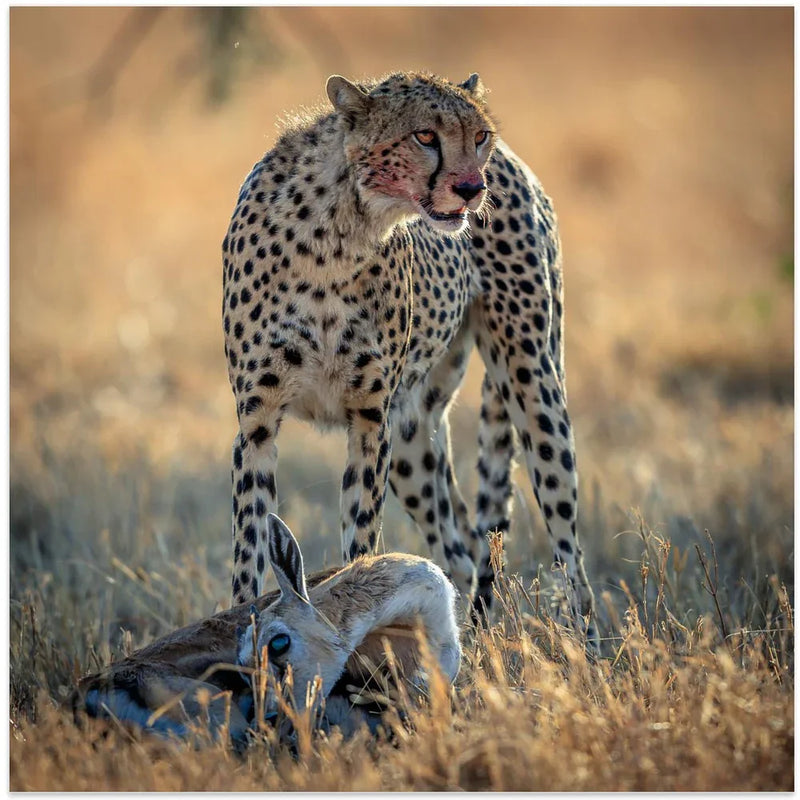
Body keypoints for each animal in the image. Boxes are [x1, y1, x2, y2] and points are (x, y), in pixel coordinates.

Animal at [221, 71, 597, 647]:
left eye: (478, 135)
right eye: (424, 136)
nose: (472, 189)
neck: (339, 231)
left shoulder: (370, 422)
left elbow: (360, 543)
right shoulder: (258, 422)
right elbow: (250, 547)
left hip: (533, 383)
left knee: (568, 551)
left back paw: (591, 651)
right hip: (414, 439)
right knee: (463, 549)